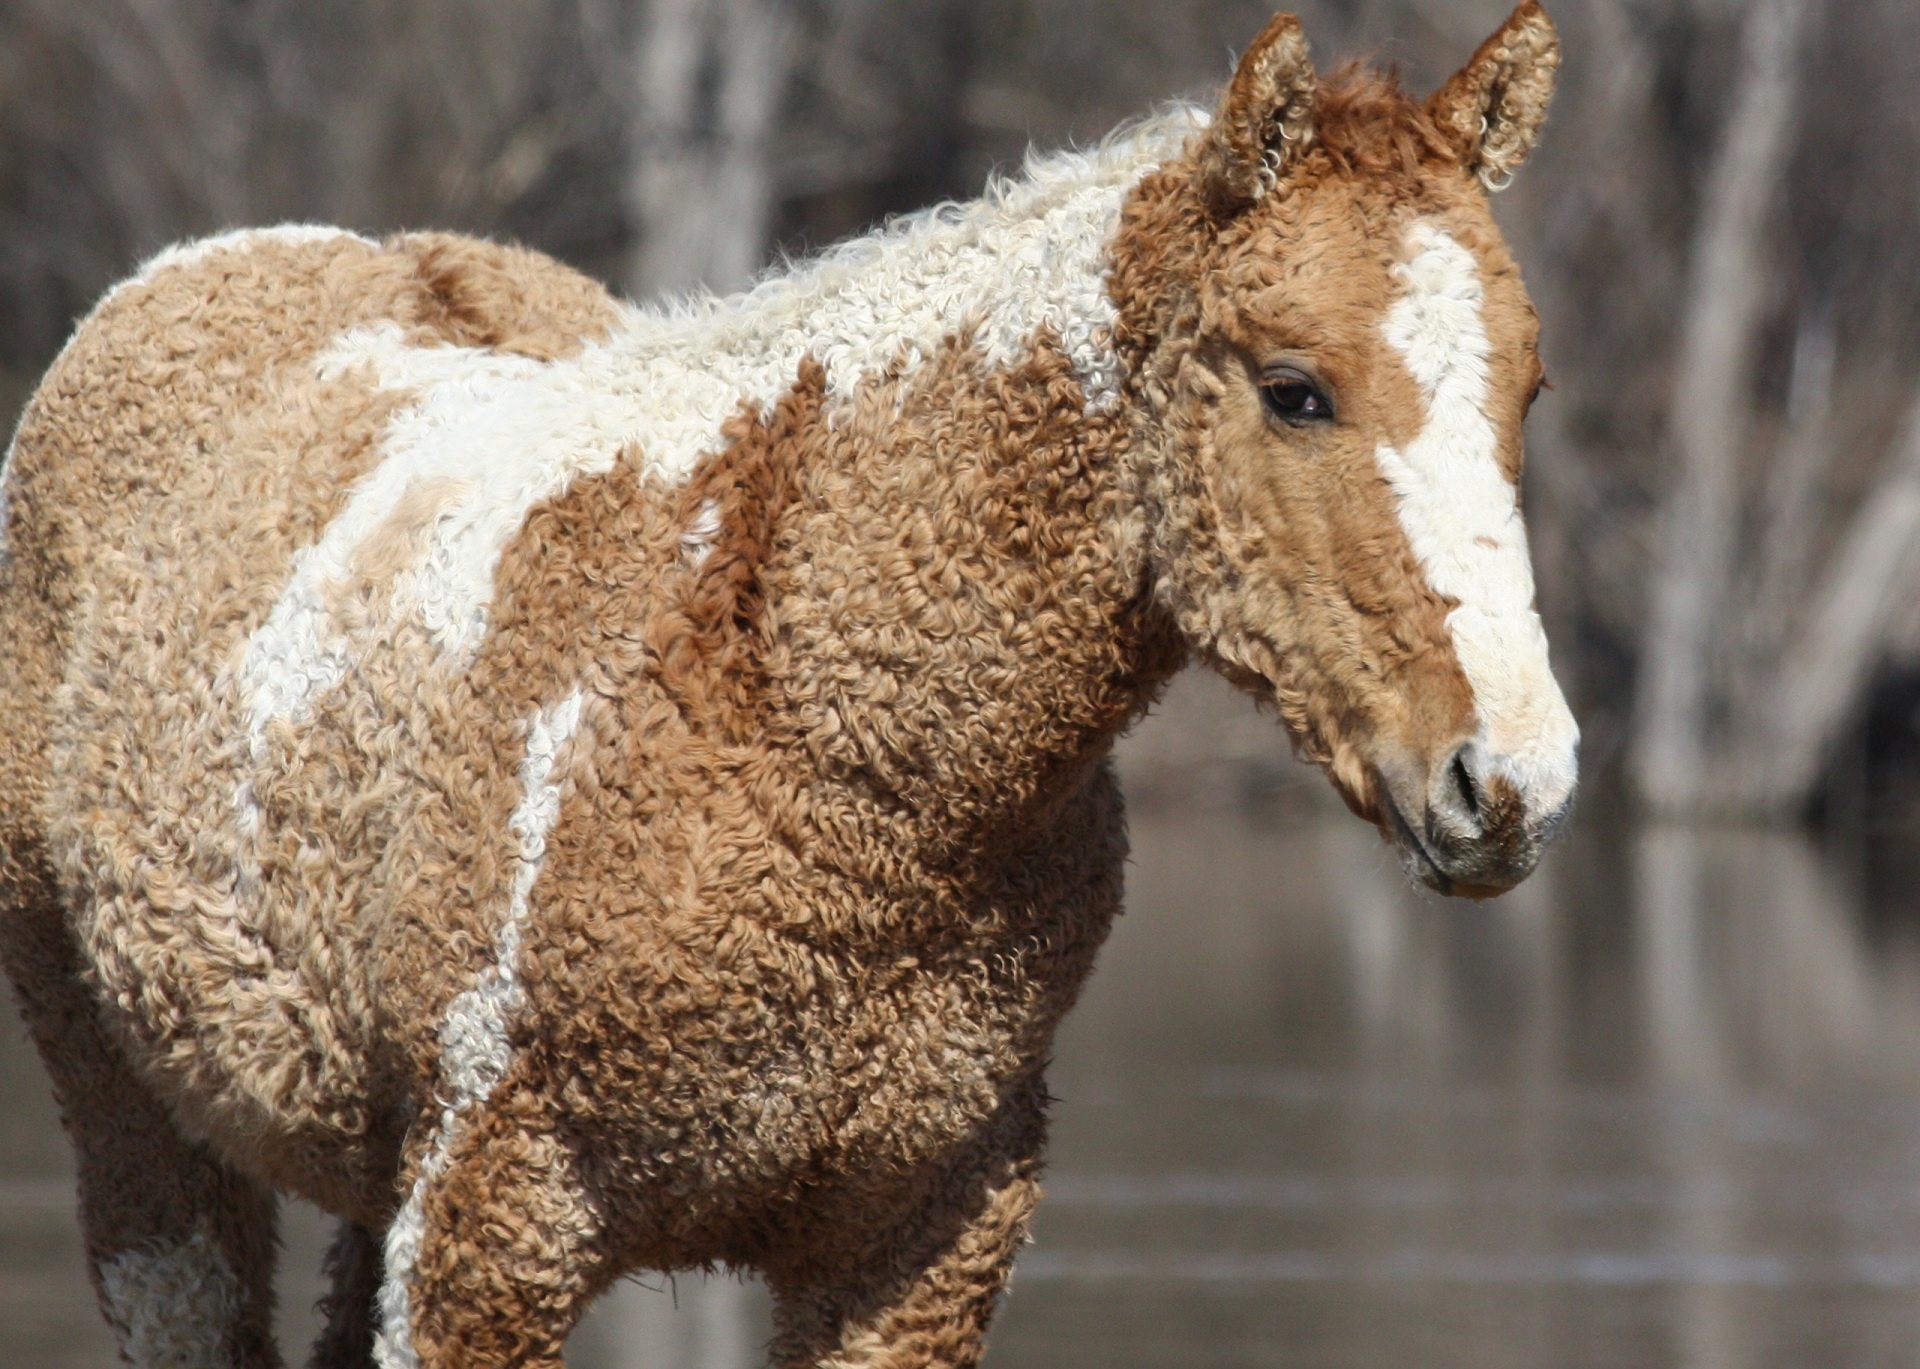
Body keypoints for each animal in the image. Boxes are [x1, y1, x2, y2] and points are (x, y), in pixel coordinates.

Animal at [0, 5, 1574, 1359]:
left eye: (1529, 392)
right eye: (1295, 388)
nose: (1512, 781)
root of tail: (183, 276)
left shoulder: (918, 1241)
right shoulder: (486, 1231)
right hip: (138, 1126)